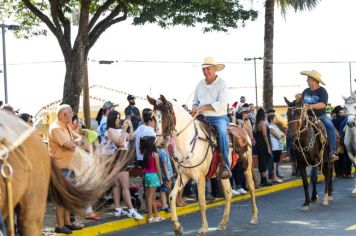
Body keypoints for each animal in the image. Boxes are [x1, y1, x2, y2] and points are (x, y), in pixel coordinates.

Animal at [146, 95, 258, 235]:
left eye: (167, 115)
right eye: (153, 117)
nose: (159, 143)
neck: (187, 140)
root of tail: (242, 129)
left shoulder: (199, 177)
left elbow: (201, 202)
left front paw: (204, 228)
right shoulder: (184, 176)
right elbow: (172, 197)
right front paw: (177, 228)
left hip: (246, 165)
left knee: (251, 188)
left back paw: (254, 217)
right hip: (223, 174)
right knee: (228, 193)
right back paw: (223, 223)